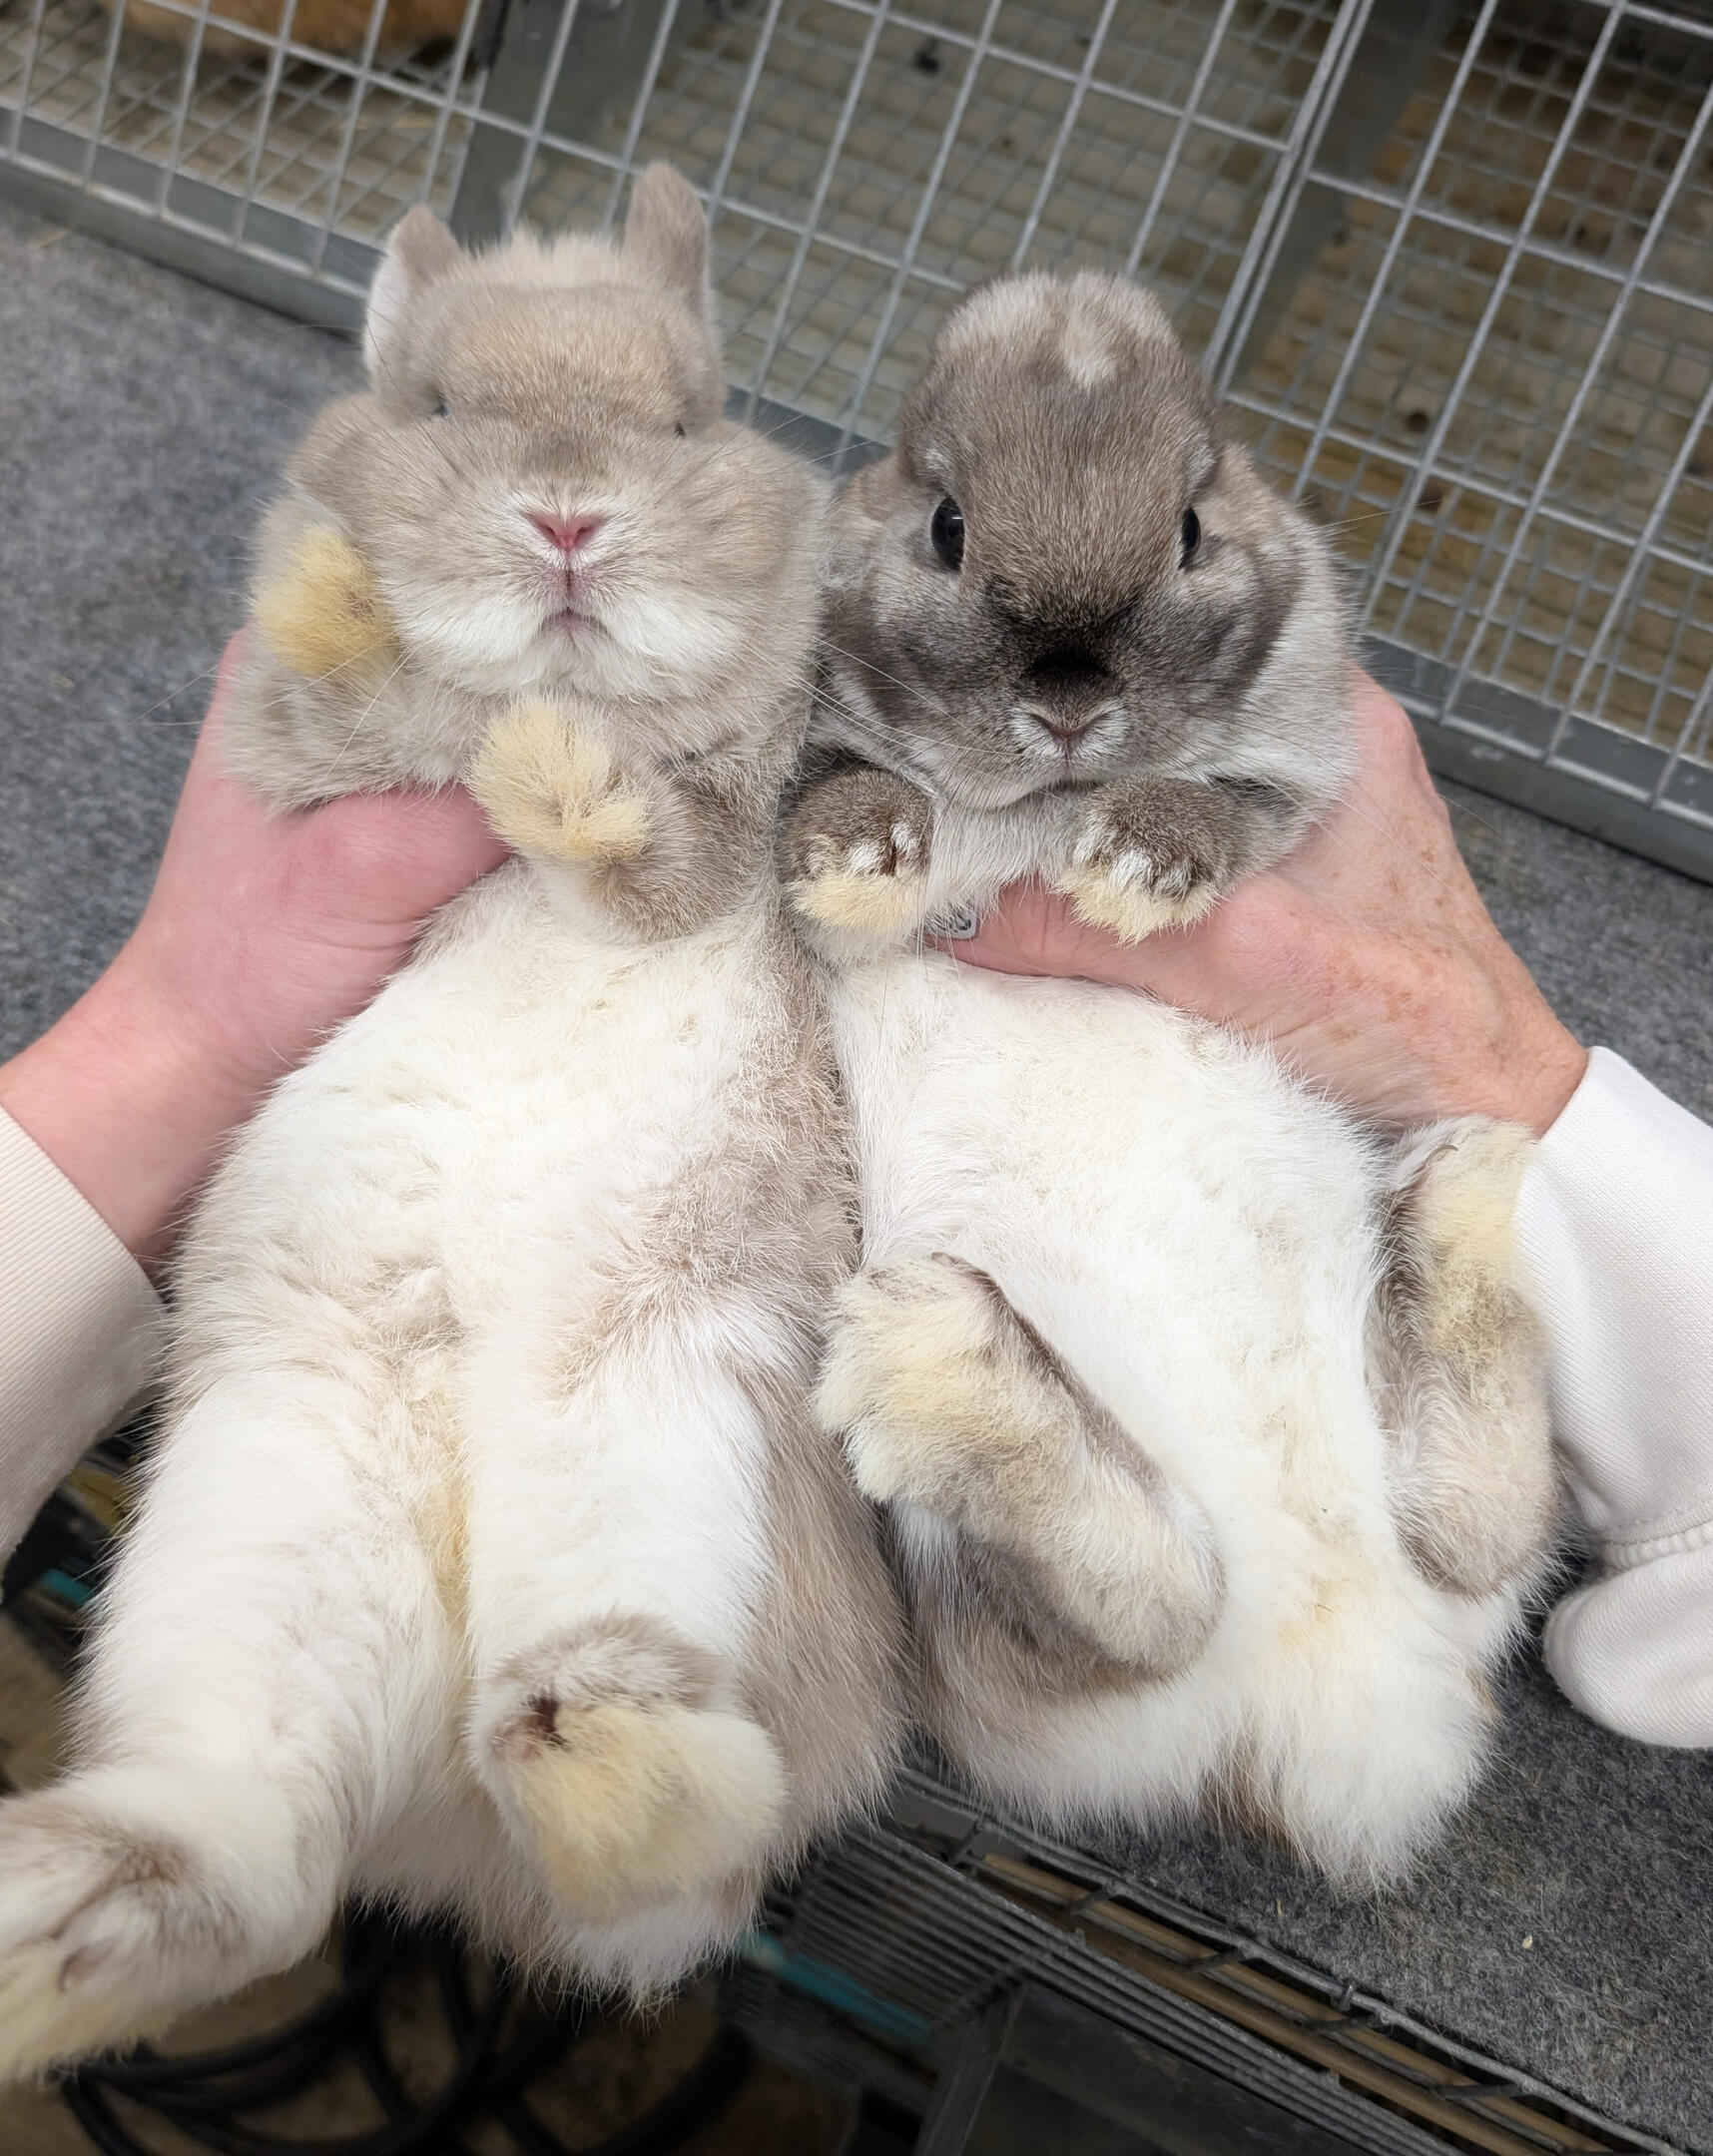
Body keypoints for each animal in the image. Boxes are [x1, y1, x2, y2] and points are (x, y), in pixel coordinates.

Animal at [0, 165, 904, 2083]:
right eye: (429, 407)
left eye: (690, 418)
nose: (565, 523)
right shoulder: (306, 782)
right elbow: (346, 700)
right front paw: (341, 588)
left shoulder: (729, 835)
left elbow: (656, 856)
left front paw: (555, 776)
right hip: (271, 1505)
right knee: (248, 1860)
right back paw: (38, 1927)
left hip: (672, 1430)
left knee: (617, 1787)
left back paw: (611, 1763)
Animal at [784, 270, 1559, 1886]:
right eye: (945, 525)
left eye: (1194, 528)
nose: (1072, 706)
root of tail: (1336, 1708)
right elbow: (848, 801)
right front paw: (864, 861)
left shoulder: (1296, 773)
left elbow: (1225, 806)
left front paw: (1136, 867)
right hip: (978, 1636)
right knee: (1170, 1596)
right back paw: (953, 1370)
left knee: (1452, 1528)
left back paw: (1456, 1195)